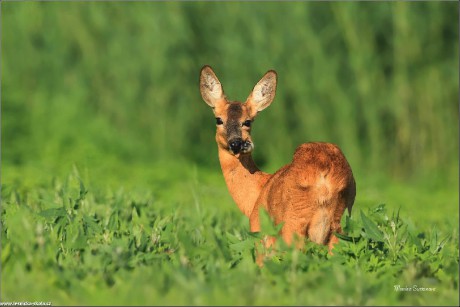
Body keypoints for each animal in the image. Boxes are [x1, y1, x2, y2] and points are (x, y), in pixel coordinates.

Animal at [199, 66, 356, 251]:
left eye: (248, 122)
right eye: (219, 119)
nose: (236, 143)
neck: (256, 194)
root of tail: (324, 176)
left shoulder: (259, 228)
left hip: (292, 222)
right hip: (338, 222)